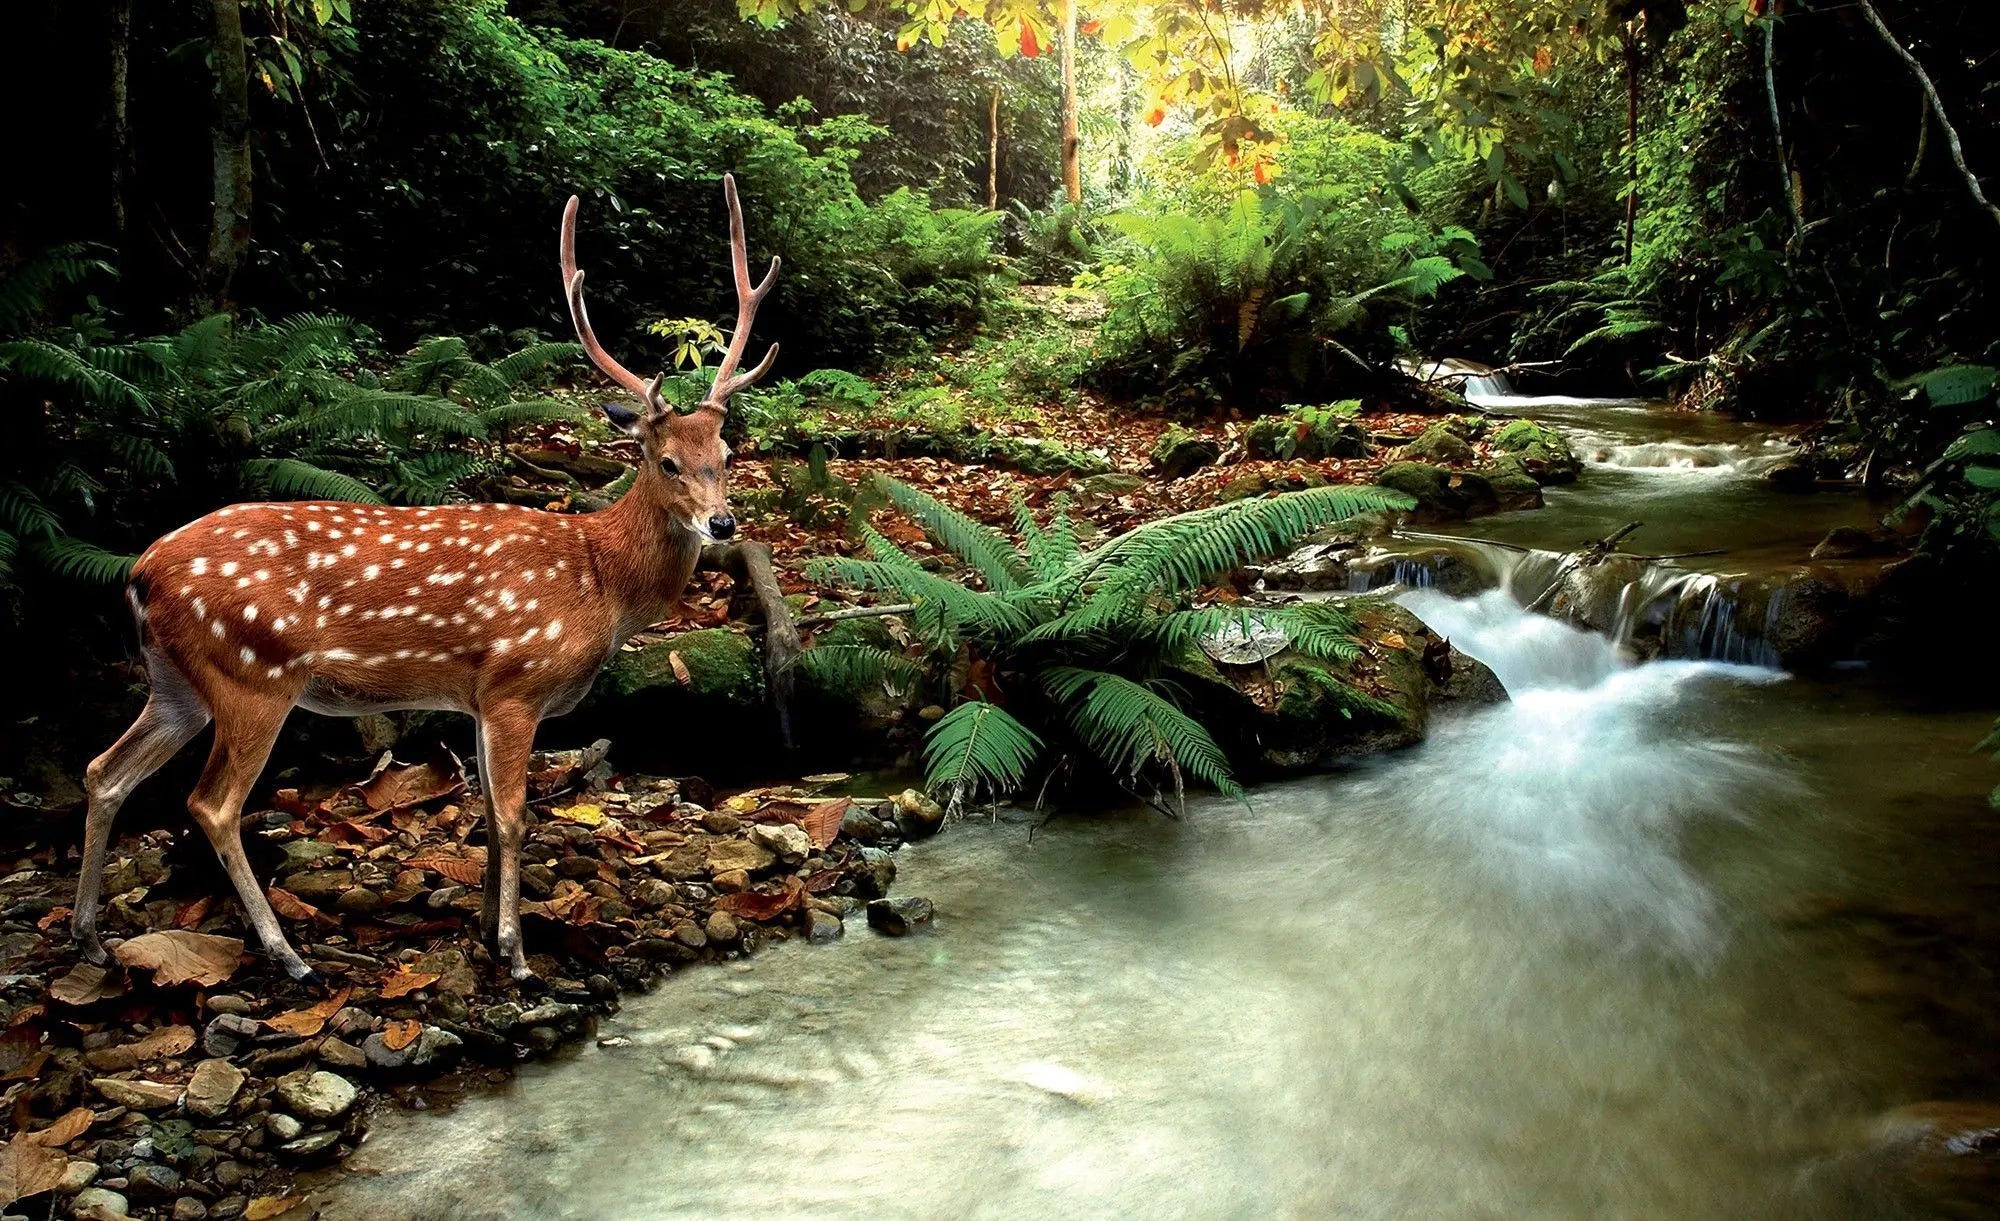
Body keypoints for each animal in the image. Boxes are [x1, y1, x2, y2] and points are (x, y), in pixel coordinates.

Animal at [76, 173, 780, 980]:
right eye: (665, 461)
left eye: (724, 456)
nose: (722, 524)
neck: (599, 580)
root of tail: (139, 572)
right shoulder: (517, 682)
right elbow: (513, 815)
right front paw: (515, 952)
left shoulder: (476, 695)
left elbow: (487, 815)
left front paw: (483, 930)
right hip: (253, 674)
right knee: (210, 804)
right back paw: (290, 955)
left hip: (177, 681)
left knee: (105, 769)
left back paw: (90, 936)